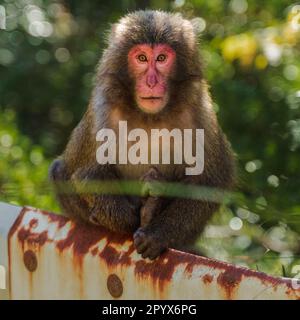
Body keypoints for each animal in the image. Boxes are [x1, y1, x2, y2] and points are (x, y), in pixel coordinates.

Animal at [49, 10, 236, 260]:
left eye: (161, 58)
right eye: (141, 58)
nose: (151, 82)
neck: (150, 117)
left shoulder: (200, 109)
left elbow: (210, 181)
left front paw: (157, 233)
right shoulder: (102, 108)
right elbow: (85, 173)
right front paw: (128, 220)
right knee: (59, 170)